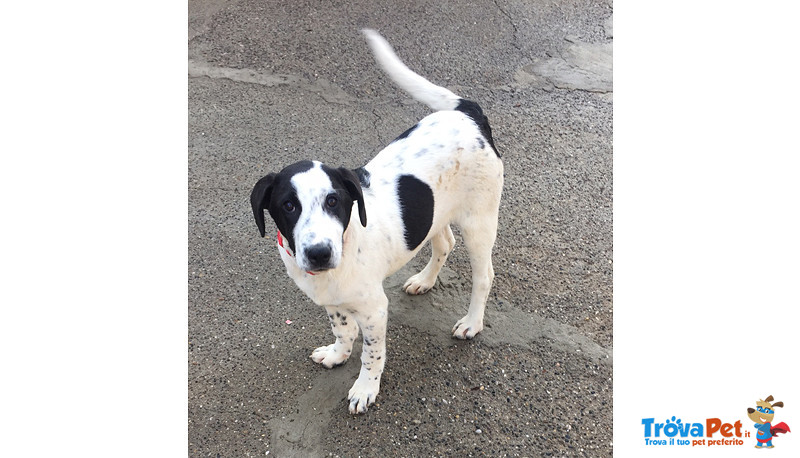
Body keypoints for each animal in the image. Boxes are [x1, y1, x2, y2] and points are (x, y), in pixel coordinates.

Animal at [250, 29, 504, 416]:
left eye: (334, 201)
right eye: (288, 206)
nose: (319, 253)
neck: (345, 244)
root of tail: (467, 114)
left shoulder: (374, 310)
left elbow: (372, 353)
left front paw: (365, 388)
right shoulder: (334, 302)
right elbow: (342, 329)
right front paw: (337, 353)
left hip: (480, 221)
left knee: (483, 275)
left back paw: (472, 323)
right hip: (436, 212)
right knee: (445, 243)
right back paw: (424, 281)